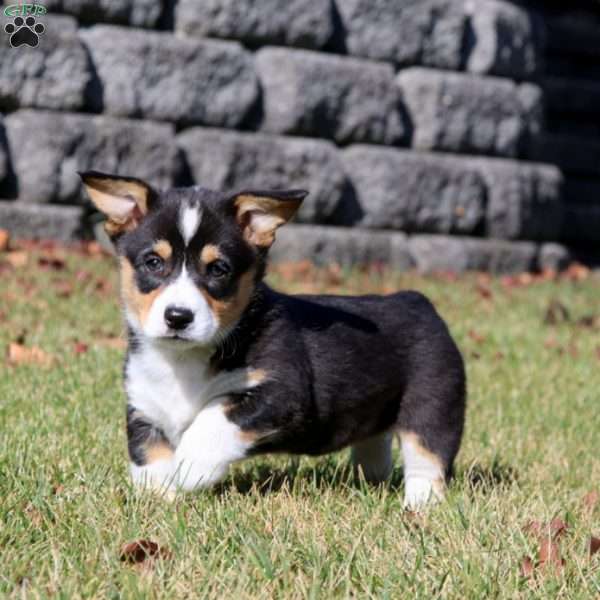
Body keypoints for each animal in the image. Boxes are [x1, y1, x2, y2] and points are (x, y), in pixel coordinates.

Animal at [81, 171, 464, 508]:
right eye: (153, 262)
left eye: (218, 269)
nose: (178, 317)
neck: (183, 359)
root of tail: (417, 299)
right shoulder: (145, 406)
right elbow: (148, 457)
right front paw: (162, 499)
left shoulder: (283, 392)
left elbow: (215, 418)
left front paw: (190, 468)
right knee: (374, 448)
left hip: (433, 407)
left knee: (427, 461)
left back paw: (417, 508)